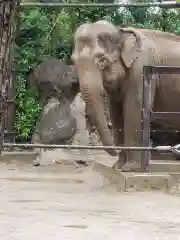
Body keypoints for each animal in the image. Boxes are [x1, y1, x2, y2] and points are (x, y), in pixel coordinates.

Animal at [71, 19, 180, 172]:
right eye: (73, 61)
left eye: (102, 61)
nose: (115, 151)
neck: (120, 32)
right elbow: (116, 113)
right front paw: (117, 167)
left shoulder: (140, 69)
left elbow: (132, 109)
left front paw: (129, 168)